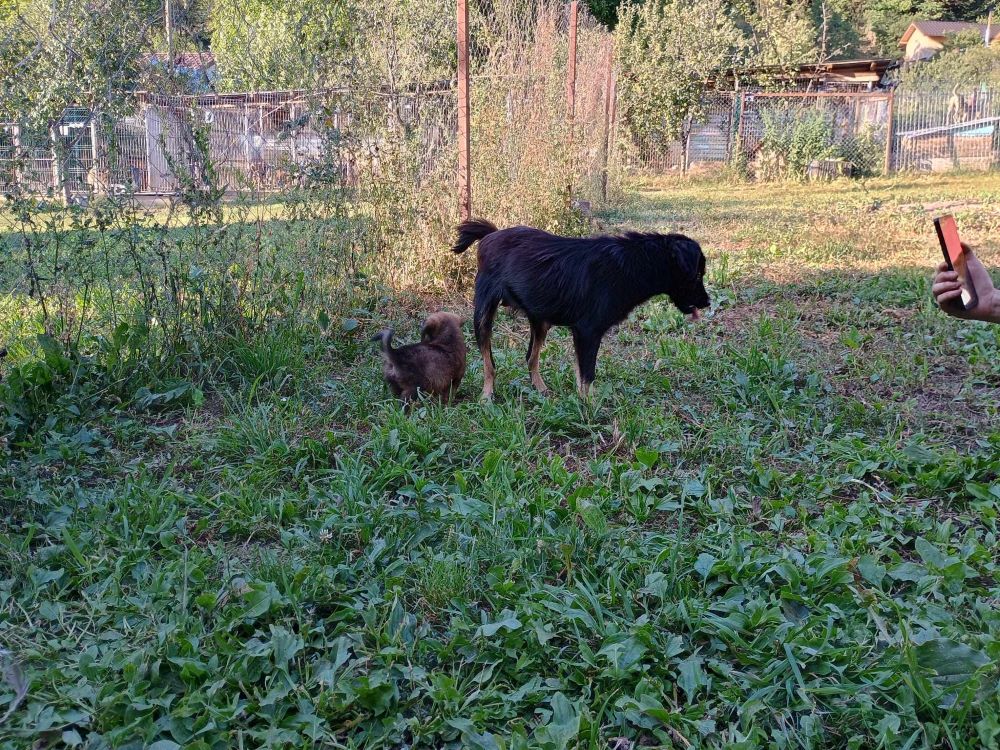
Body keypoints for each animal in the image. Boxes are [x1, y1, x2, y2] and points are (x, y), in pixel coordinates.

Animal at [454, 219, 712, 400]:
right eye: (697, 274)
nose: (707, 303)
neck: (632, 265)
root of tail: (491, 234)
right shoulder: (587, 332)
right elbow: (587, 375)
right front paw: (588, 409)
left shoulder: (583, 334)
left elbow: (582, 375)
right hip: (484, 314)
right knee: (489, 362)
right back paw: (487, 395)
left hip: (540, 319)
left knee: (530, 357)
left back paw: (541, 389)